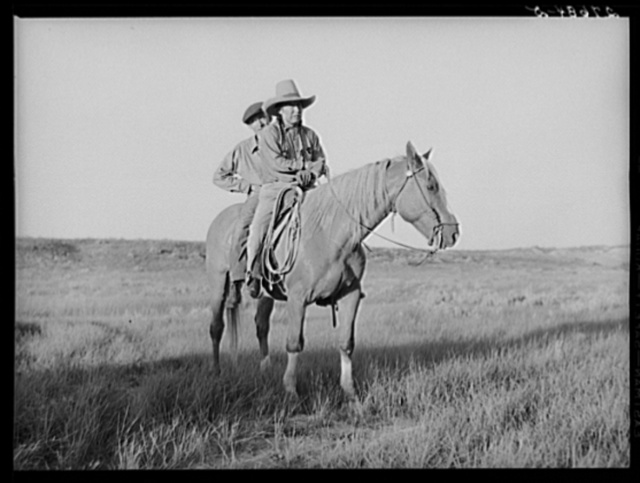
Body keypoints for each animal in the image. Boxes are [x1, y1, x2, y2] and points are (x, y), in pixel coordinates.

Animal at [206, 142, 460, 398]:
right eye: (431, 185)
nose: (453, 232)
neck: (331, 233)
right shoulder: (297, 299)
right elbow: (294, 342)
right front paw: (291, 389)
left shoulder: (351, 295)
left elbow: (346, 342)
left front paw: (349, 391)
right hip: (218, 283)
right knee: (217, 327)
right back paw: (216, 371)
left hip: (265, 295)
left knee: (261, 326)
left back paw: (264, 368)